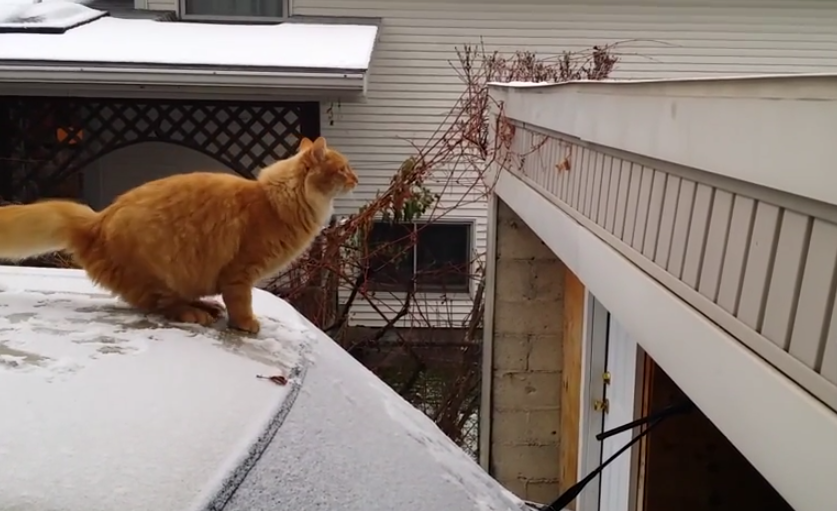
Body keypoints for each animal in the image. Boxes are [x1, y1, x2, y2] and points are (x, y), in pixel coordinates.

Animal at [0, 138, 356, 334]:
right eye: (342, 170)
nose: (356, 178)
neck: (274, 201)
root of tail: (97, 220)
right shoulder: (240, 273)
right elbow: (241, 303)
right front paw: (247, 323)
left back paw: (206, 306)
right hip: (162, 270)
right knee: (164, 306)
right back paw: (196, 312)